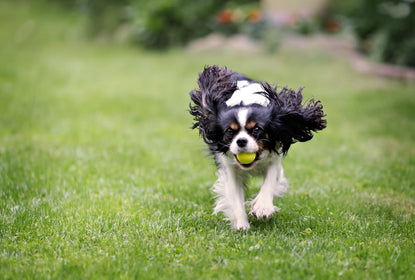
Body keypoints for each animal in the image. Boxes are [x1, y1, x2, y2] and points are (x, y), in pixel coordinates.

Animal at [189, 65, 328, 230]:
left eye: (256, 129)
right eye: (229, 131)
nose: (241, 141)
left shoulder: (275, 159)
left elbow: (269, 182)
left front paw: (262, 208)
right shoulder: (230, 168)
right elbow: (235, 197)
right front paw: (242, 225)